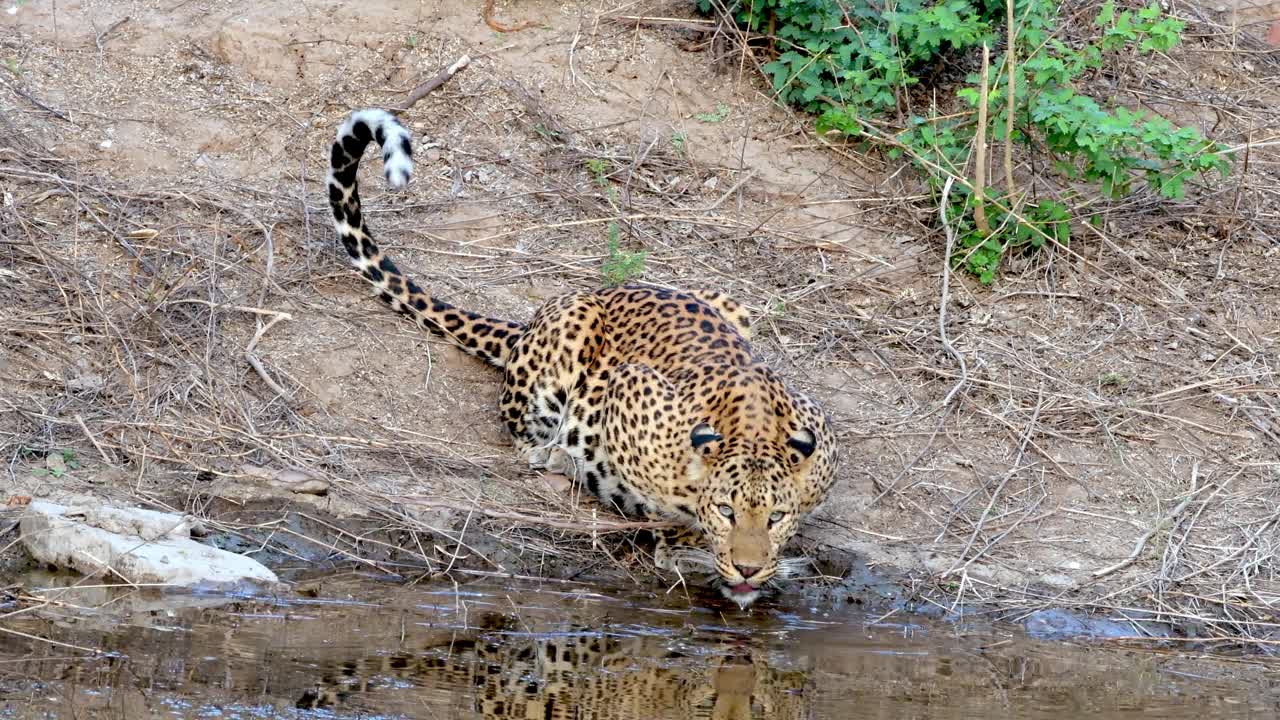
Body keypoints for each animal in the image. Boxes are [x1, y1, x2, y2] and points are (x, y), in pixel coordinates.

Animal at [325, 105, 834, 599]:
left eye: (776, 517)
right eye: (728, 511)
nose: (749, 569)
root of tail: (528, 323)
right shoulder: (632, 388)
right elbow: (673, 511)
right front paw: (685, 547)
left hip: (732, 303)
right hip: (575, 321)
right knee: (523, 433)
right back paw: (553, 458)